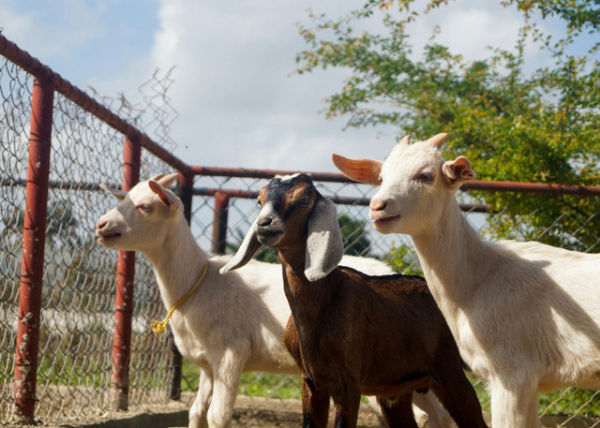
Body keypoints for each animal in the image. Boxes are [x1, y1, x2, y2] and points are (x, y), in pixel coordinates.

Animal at [95, 173, 450, 428]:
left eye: (146, 206)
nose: (101, 225)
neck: (198, 280)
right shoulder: (208, 366)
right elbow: (196, 414)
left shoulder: (231, 352)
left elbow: (217, 416)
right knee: (436, 416)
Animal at [220, 174, 488, 428]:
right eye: (260, 200)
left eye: (303, 199)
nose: (264, 225)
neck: (325, 300)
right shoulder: (311, 382)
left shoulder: (348, 383)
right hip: (396, 389)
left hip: (450, 371)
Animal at [332, 132, 600, 426]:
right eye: (381, 177)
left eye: (426, 175)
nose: (378, 206)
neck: (478, 280)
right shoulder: (530, 384)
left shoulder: (512, 374)